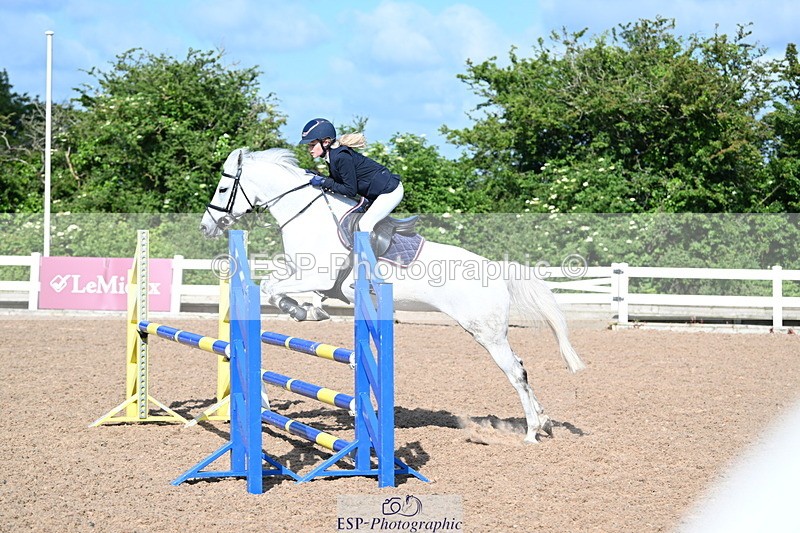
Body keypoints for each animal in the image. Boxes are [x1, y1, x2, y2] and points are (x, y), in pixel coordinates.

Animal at [200, 147, 586, 443]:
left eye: (222, 187)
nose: (206, 226)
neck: (306, 215)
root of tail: (495, 269)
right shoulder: (312, 277)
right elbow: (277, 286)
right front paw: (305, 309)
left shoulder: (317, 274)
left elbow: (270, 287)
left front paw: (300, 310)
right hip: (486, 332)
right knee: (522, 369)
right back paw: (545, 422)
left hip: (487, 333)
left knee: (516, 372)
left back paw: (532, 431)